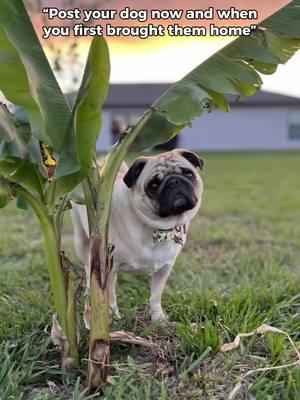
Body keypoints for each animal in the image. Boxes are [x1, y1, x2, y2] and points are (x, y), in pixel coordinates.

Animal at [72, 148, 204, 320]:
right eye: (153, 185)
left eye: (188, 174)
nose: (174, 181)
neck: (157, 228)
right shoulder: (109, 267)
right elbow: (109, 296)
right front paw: (112, 317)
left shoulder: (164, 269)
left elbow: (155, 295)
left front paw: (158, 317)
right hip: (82, 240)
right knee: (88, 269)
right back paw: (89, 293)